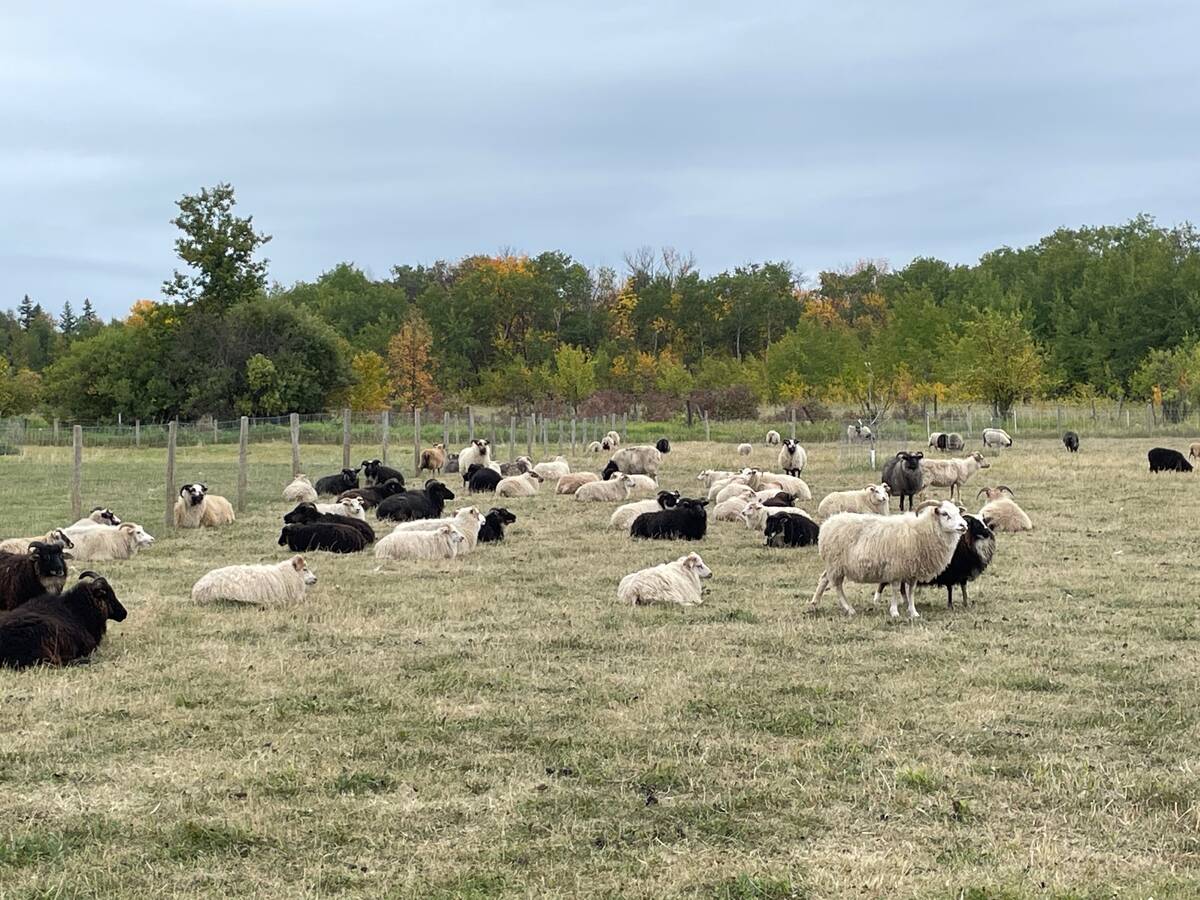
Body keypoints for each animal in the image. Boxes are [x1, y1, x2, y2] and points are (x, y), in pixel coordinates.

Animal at [810, 500, 967, 619]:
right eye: (945, 513)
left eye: (958, 512)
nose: (964, 525)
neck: (921, 530)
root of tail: (827, 524)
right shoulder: (896, 568)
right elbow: (896, 590)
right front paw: (895, 612)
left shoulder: (913, 570)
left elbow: (911, 592)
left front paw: (913, 612)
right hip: (836, 564)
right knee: (837, 586)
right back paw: (849, 609)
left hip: (833, 564)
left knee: (824, 578)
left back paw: (814, 603)